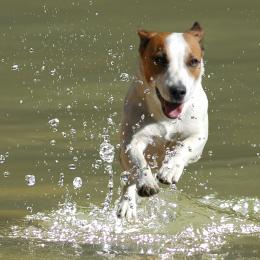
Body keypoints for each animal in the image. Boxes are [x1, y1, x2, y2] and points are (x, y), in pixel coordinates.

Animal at [117, 21, 208, 219]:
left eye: (193, 61)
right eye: (159, 59)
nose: (178, 90)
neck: (165, 117)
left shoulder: (198, 135)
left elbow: (184, 146)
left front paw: (171, 168)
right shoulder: (132, 140)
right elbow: (138, 161)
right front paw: (146, 182)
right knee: (130, 176)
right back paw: (128, 202)